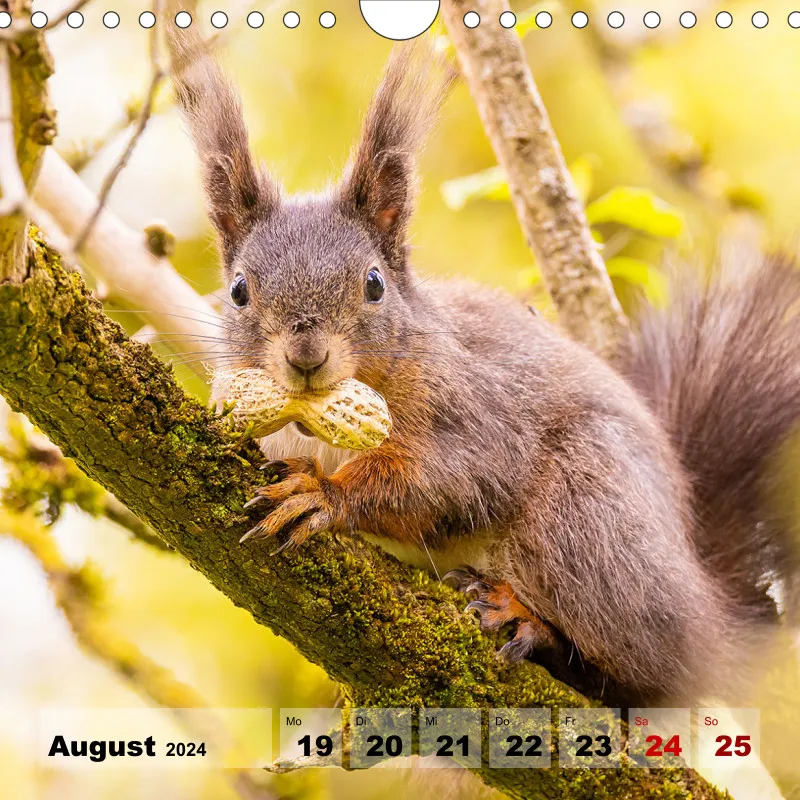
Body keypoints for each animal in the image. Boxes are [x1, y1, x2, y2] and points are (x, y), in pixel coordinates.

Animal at [171, 37, 800, 707]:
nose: (306, 356)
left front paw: (326, 493)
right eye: (239, 290)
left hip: (589, 517)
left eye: (374, 284)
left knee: (637, 673)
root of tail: (705, 608)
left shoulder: (475, 410)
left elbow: (453, 477)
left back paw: (530, 621)